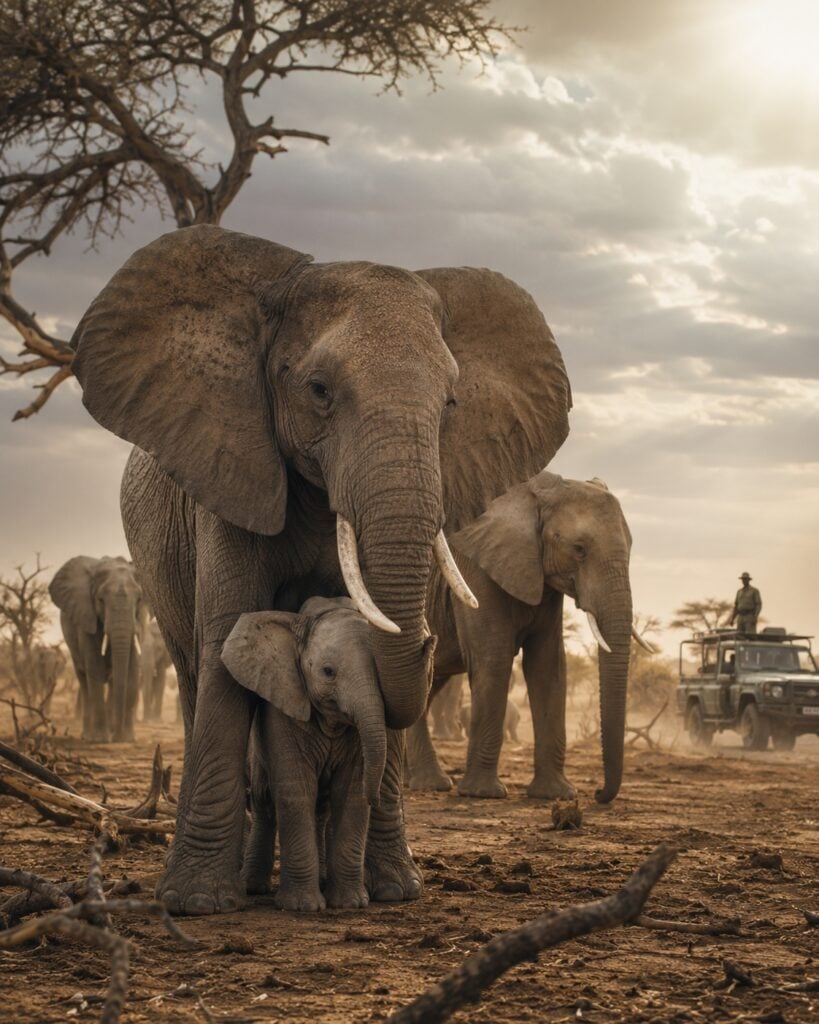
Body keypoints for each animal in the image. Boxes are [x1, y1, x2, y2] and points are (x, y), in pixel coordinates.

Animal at [49, 556, 147, 742]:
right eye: (101, 600)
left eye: (139, 600)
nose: (117, 737)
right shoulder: (85, 615)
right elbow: (94, 667)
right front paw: (100, 740)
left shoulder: (140, 620)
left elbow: (132, 669)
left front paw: (127, 740)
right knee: (84, 680)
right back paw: (88, 736)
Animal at [222, 597, 386, 911]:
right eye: (328, 671)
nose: (377, 797)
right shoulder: (283, 706)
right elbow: (296, 791)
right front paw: (302, 906)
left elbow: (351, 795)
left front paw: (351, 904)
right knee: (264, 801)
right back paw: (253, 886)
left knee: (320, 809)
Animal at [408, 471, 646, 803]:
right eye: (579, 549)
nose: (598, 793)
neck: (533, 496)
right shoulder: (475, 569)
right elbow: (493, 658)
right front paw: (483, 794)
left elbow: (548, 665)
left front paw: (557, 795)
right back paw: (430, 784)